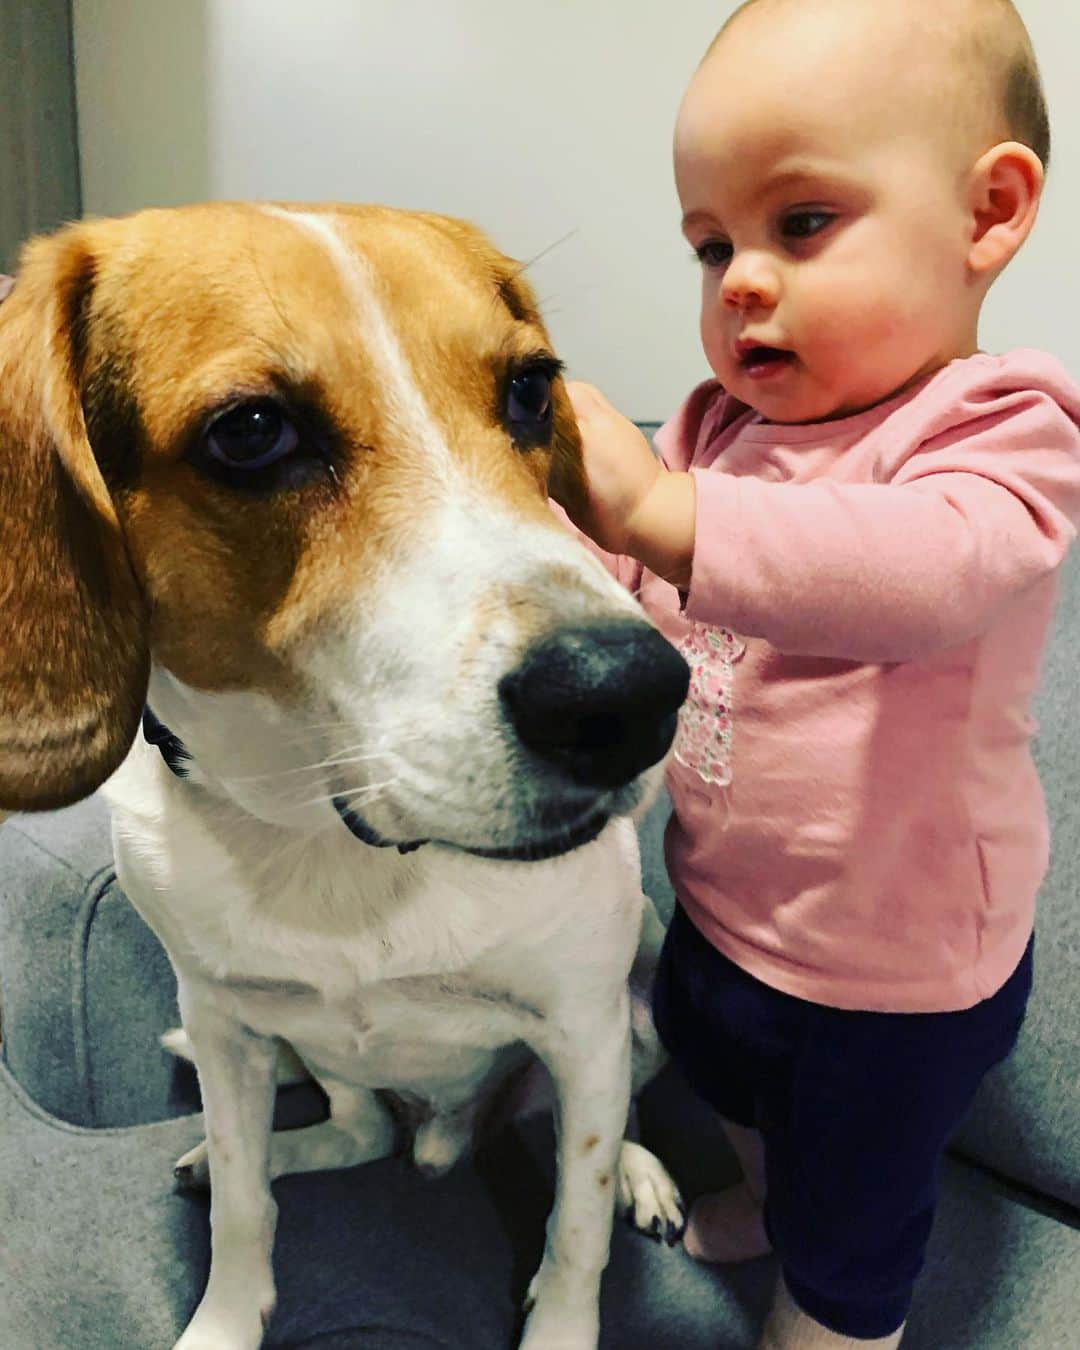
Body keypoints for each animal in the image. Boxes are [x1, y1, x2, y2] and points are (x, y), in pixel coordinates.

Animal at [0, 202, 688, 1350]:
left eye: (530, 389)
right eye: (250, 433)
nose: (630, 696)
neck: (335, 844)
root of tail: (442, 1135)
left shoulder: (583, 1033)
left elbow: (575, 1232)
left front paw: (576, 1280)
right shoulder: (230, 1026)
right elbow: (243, 1213)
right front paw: (225, 1309)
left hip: (634, 999)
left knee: (606, 1125)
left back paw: (643, 1173)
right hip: (310, 1051)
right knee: (356, 1134)